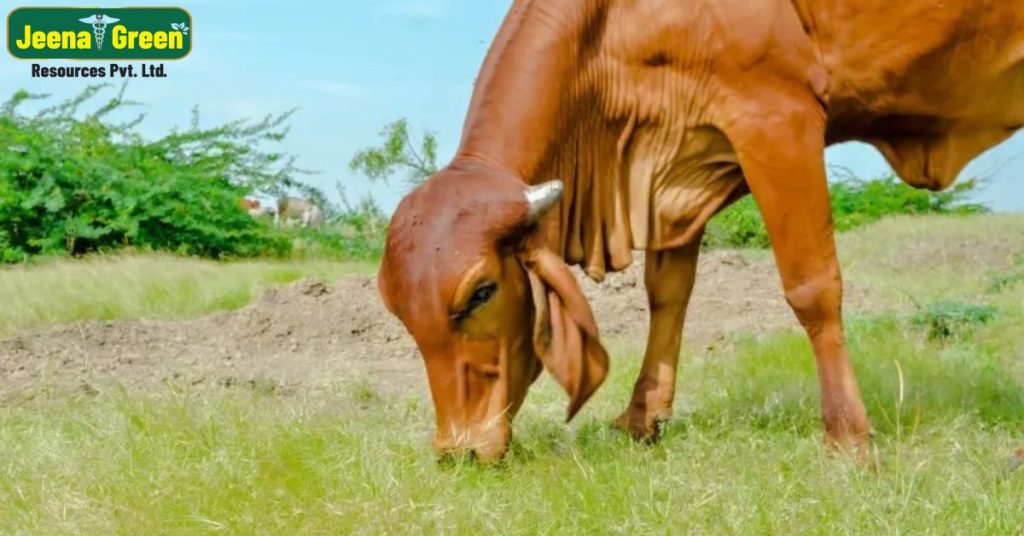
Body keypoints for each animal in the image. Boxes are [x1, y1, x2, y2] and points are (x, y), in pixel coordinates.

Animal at [378, 0, 1024, 462]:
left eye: (481, 293)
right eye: (399, 312)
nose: (457, 450)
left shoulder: (777, 116)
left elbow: (813, 289)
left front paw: (848, 438)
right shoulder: (670, 169)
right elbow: (667, 293)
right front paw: (643, 418)